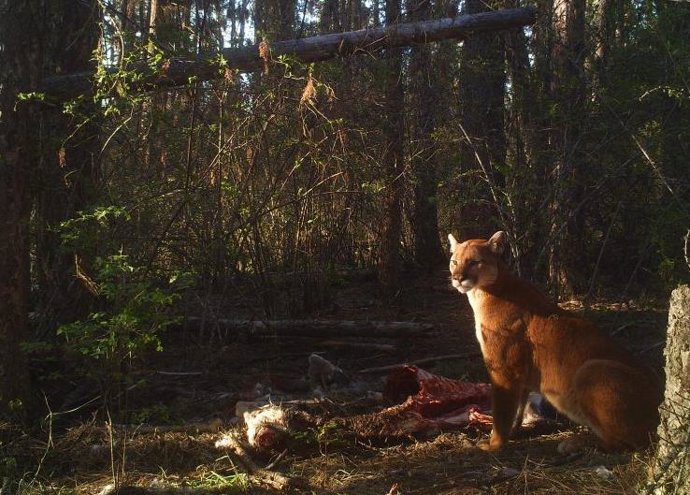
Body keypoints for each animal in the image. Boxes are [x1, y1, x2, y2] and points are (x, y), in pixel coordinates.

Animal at [446, 232, 660, 454]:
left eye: (474, 262)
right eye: (454, 262)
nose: (457, 278)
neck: (486, 291)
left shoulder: (503, 369)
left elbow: (502, 412)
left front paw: (494, 444)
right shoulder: (520, 374)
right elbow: (519, 406)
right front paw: (514, 432)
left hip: (590, 369)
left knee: (627, 442)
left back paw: (576, 443)